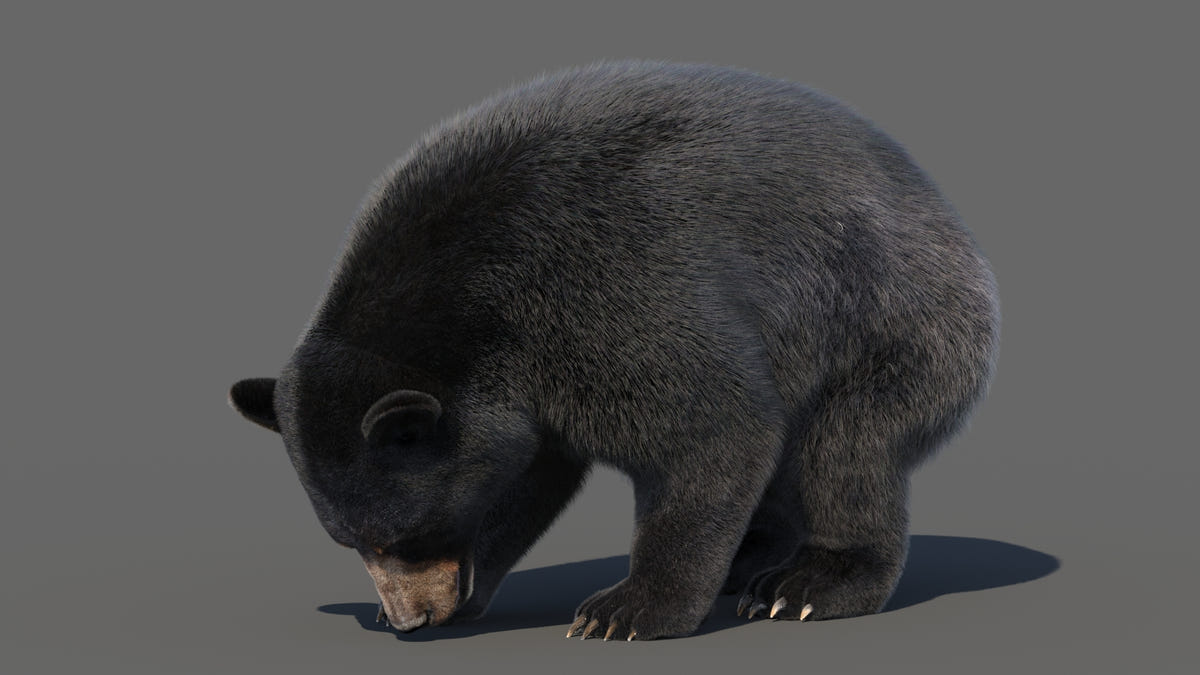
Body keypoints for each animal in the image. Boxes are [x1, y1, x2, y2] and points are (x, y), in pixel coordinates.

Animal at [229, 61, 999, 641]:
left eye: (406, 535)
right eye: (352, 541)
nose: (409, 619)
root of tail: (947, 213)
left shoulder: (606, 290)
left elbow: (714, 425)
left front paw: (626, 609)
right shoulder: (523, 386)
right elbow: (526, 473)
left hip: (888, 320)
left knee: (847, 449)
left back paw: (807, 583)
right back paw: (751, 557)